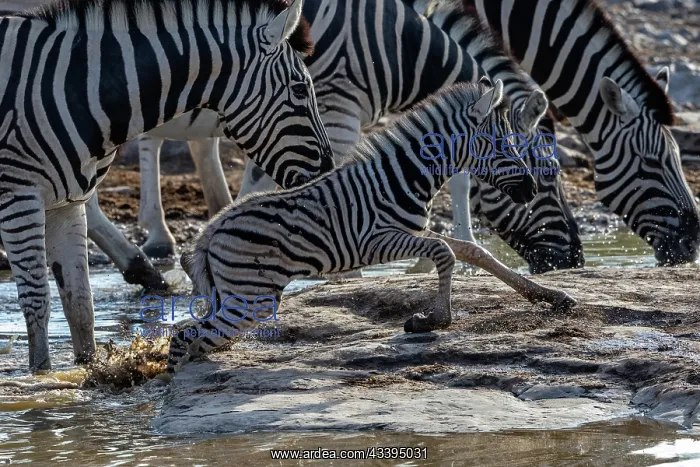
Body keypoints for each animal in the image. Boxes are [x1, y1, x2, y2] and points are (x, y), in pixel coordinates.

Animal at [0, 0, 334, 372]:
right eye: (300, 89)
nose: (328, 168)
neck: (77, 87)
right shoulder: (19, 196)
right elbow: (37, 301)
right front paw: (41, 377)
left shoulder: (67, 204)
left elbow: (80, 304)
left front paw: (88, 372)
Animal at [166, 80, 544, 374]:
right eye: (503, 145)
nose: (532, 189)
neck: (402, 176)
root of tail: (211, 230)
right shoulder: (375, 240)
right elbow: (445, 252)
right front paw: (435, 320)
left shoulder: (412, 230)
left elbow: (469, 250)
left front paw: (545, 295)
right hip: (252, 297)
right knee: (183, 337)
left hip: (234, 295)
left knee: (195, 335)